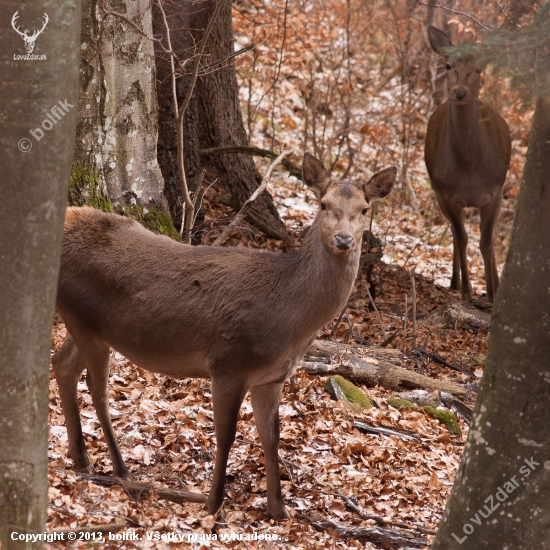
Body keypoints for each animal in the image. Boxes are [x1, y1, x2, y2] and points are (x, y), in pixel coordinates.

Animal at [52, 153, 396, 520]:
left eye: (364, 209)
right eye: (323, 203)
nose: (344, 240)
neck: (291, 322)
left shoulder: (272, 377)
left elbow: (271, 436)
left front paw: (279, 510)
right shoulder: (229, 363)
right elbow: (227, 435)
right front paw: (213, 503)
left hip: (84, 322)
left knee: (62, 364)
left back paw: (81, 458)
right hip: (84, 320)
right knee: (97, 389)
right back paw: (122, 471)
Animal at [426, 25, 512, 304]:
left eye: (479, 69)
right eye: (448, 65)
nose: (460, 92)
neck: (468, 169)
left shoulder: (494, 191)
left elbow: (486, 241)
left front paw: (493, 293)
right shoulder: (445, 193)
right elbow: (462, 237)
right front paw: (466, 290)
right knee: (456, 234)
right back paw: (455, 282)